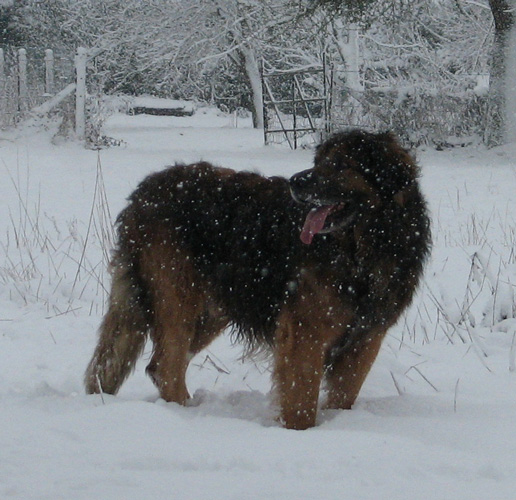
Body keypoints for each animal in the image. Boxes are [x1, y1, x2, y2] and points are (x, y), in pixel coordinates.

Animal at [85, 129, 432, 430]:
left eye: (341, 164)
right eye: (319, 161)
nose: (296, 181)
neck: (364, 247)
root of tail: (145, 191)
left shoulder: (366, 336)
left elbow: (344, 394)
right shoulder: (305, 331)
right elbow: (301, 399)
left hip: (210, 310)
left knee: (156, 364)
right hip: (178, 296)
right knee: (167, 366)